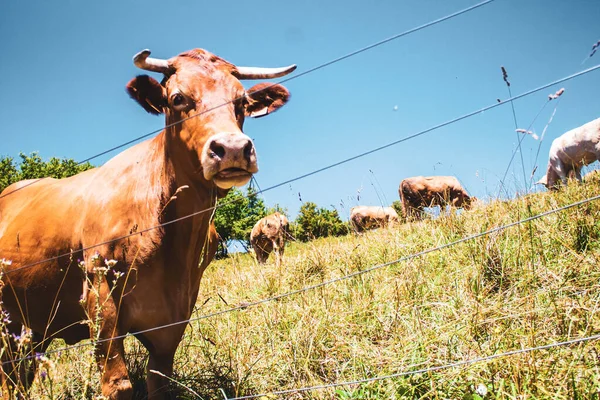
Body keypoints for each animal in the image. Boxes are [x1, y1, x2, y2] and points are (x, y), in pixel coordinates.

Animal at [0, 48, 296, 398]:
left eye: (241, 102)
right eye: (178, 98)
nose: (234, 149)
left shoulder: (175, 313)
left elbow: (160, 382)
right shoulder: (100, 298)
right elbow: (119, 384)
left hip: (31, 327)